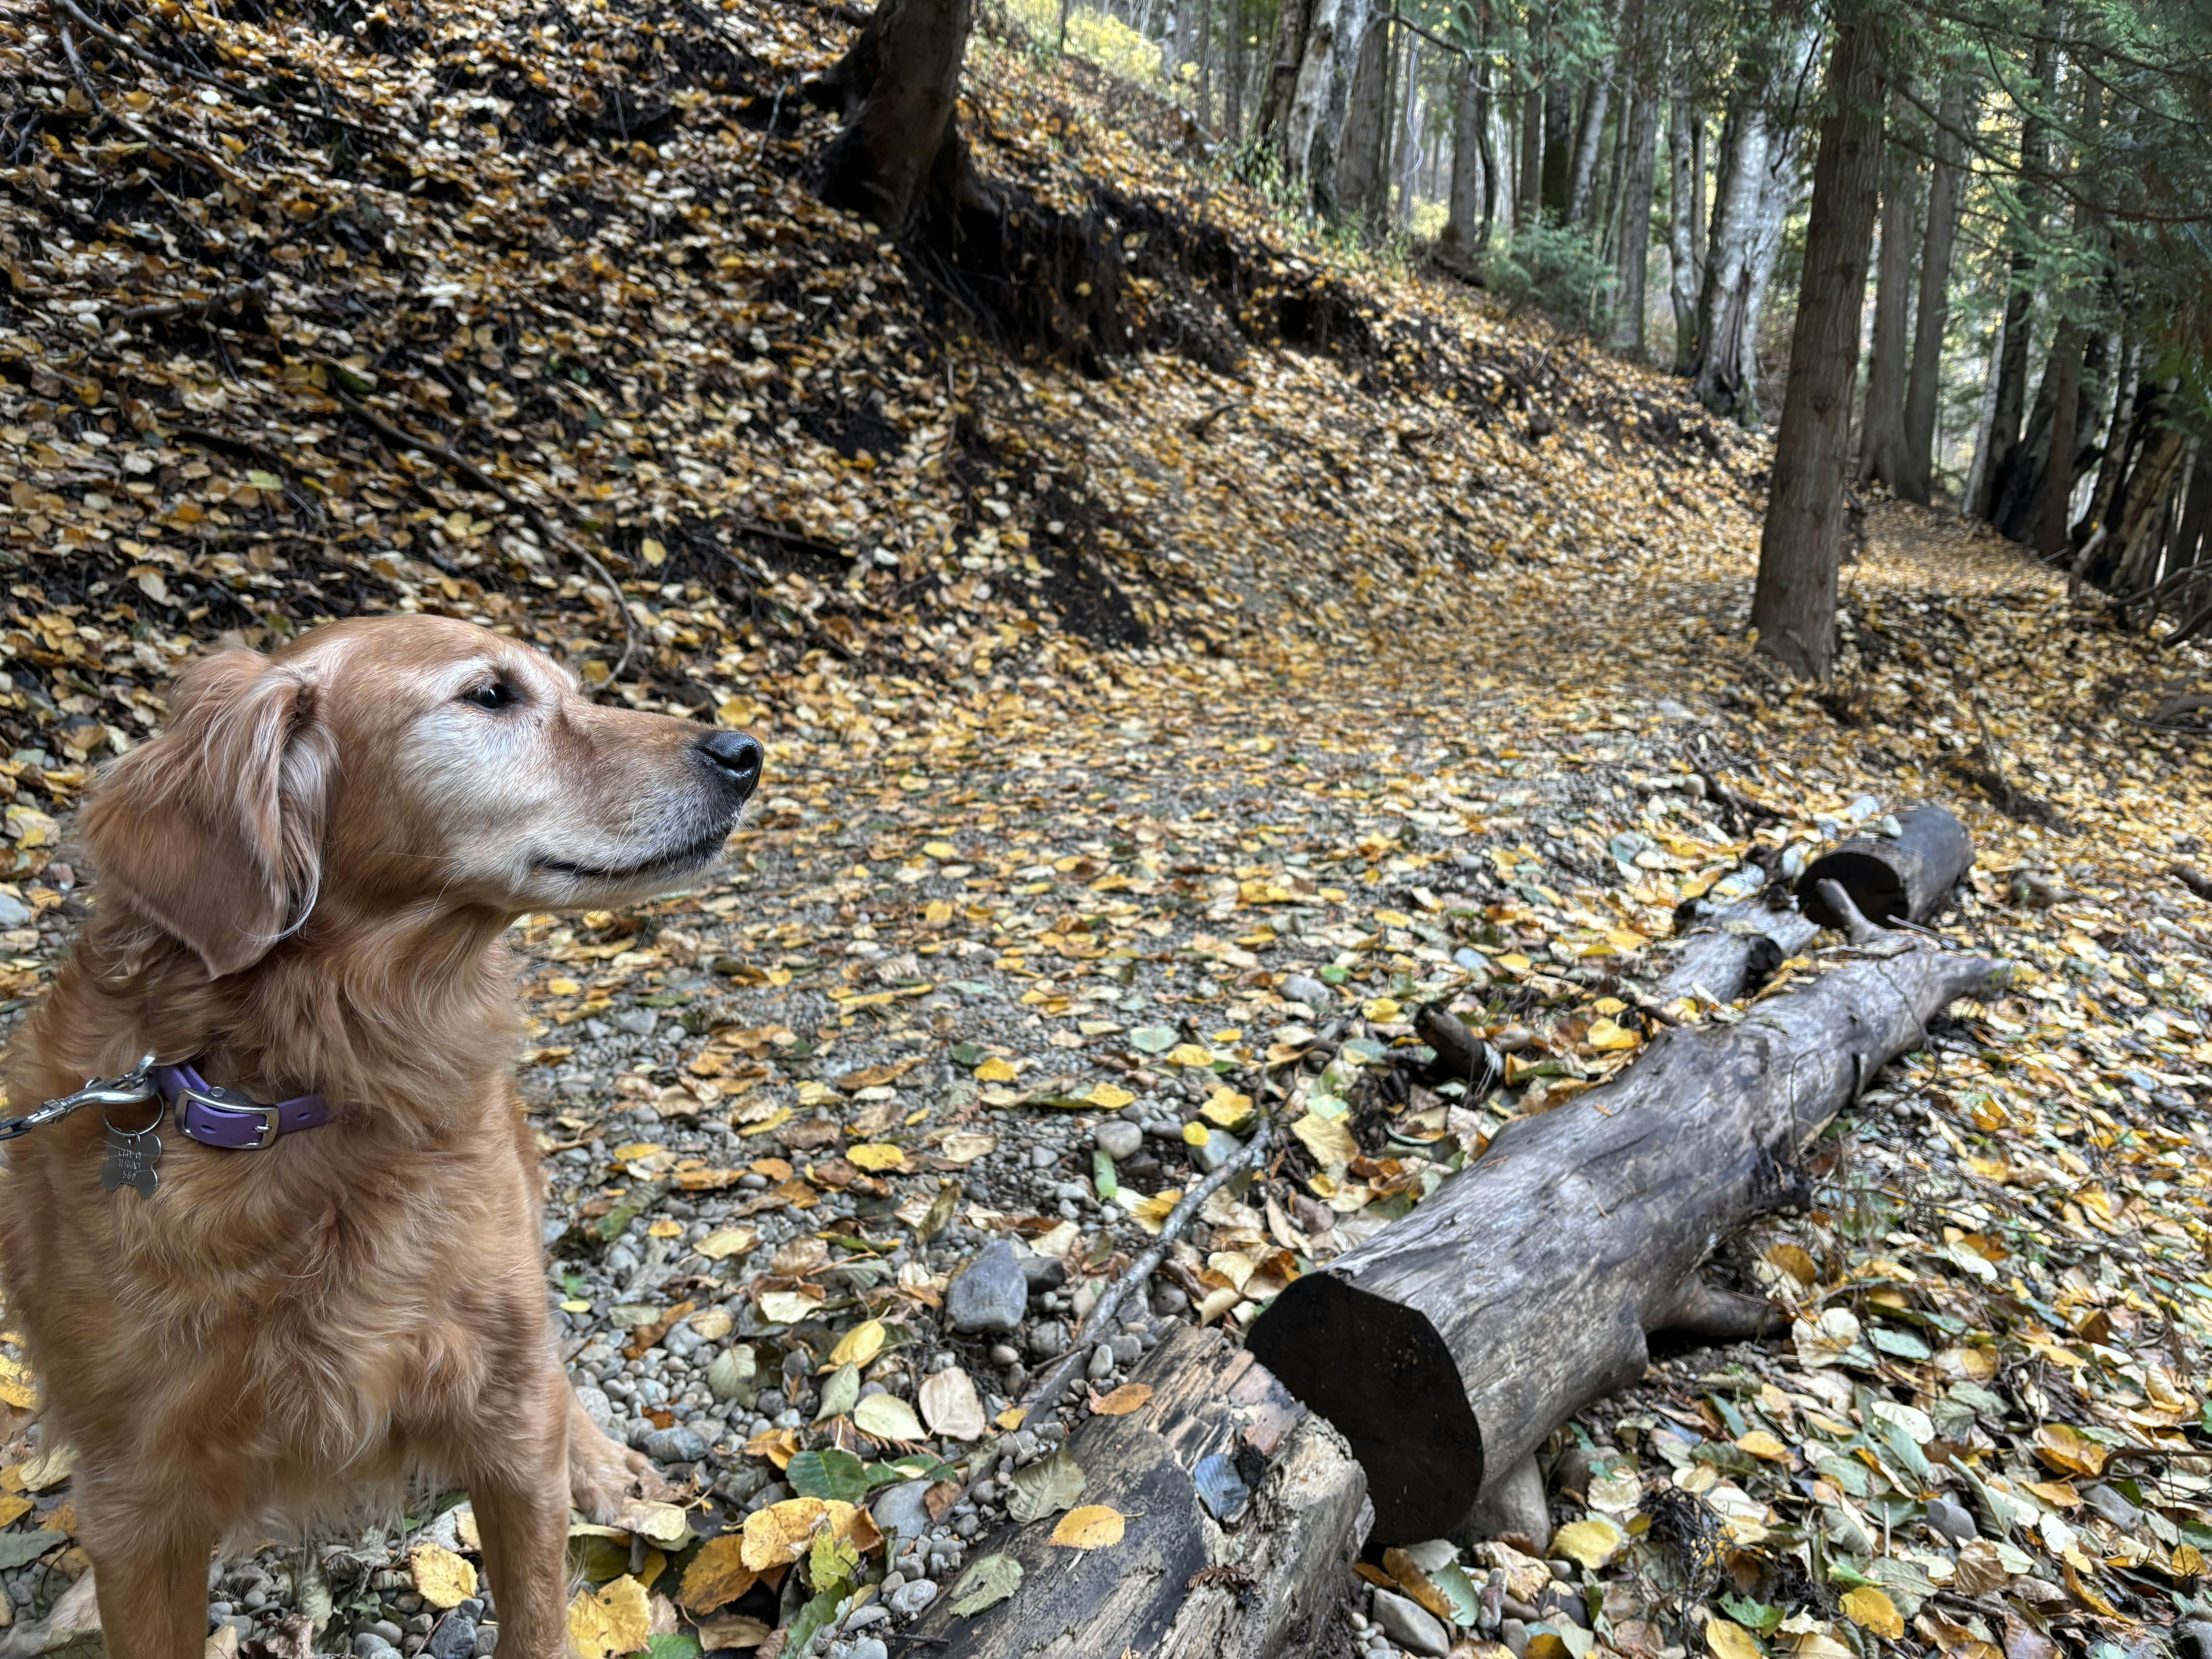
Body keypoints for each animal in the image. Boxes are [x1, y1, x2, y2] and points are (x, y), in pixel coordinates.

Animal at [0, 619, 765, 1654]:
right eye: (492, 695)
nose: (744, 752)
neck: (306, 1089)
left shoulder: (504, 1419)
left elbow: (537, 1608)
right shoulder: (136, 1494)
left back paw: (606, 1466)